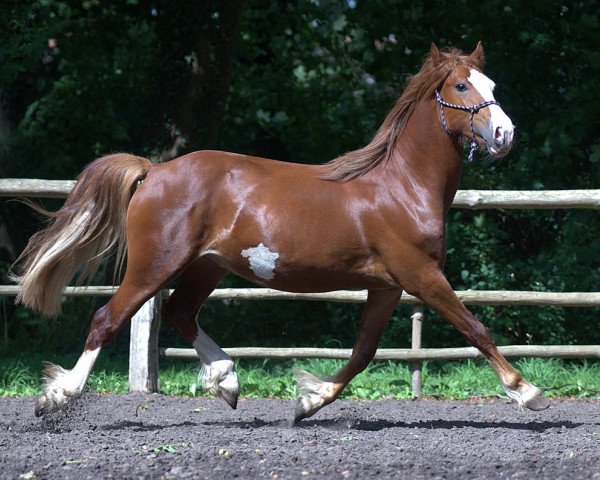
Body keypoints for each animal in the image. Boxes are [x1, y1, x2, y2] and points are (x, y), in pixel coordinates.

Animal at [11, 43, 552, 422]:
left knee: (182, 314)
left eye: (491, 82)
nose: (505, 134)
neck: (402, 186)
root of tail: (155, 170)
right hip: (155, 265)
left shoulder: (387, 287)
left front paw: (309, 402)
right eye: (461, 87)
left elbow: (362, 353)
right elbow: (475, 329)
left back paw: (227, 381)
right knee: (108, 318)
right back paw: (57, 396)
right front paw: (528, 393)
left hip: (207, 267)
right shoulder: (421, 276)